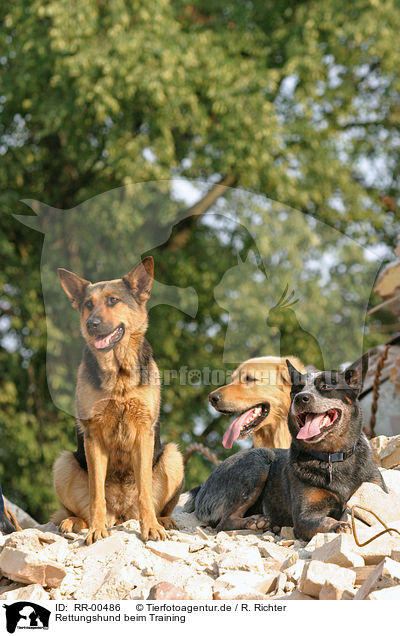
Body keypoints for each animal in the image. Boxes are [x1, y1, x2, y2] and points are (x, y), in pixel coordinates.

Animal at [52, 256, 184, 544]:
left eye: (113, 301)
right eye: (88, 305)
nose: (91, 323)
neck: (119, 375)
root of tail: (123, 515)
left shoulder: (144, 433)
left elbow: (145, 492)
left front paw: (151, 527)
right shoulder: (94, 438)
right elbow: (96, 495)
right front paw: (96, 530)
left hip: (173, 456)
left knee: (157, 504)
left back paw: (163, 520)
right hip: (63, 462)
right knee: (81, 508)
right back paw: (75, 521)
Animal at [186, 356, 386, 540]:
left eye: (325, 387)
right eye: (296, 389)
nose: (301, 398)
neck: (331, 456)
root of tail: (203, 485)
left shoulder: (373, 491)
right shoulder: (305, 516)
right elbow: (323, 520)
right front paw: (337, 525)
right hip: (258, 461)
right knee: (223, 522)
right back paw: (255, 521)